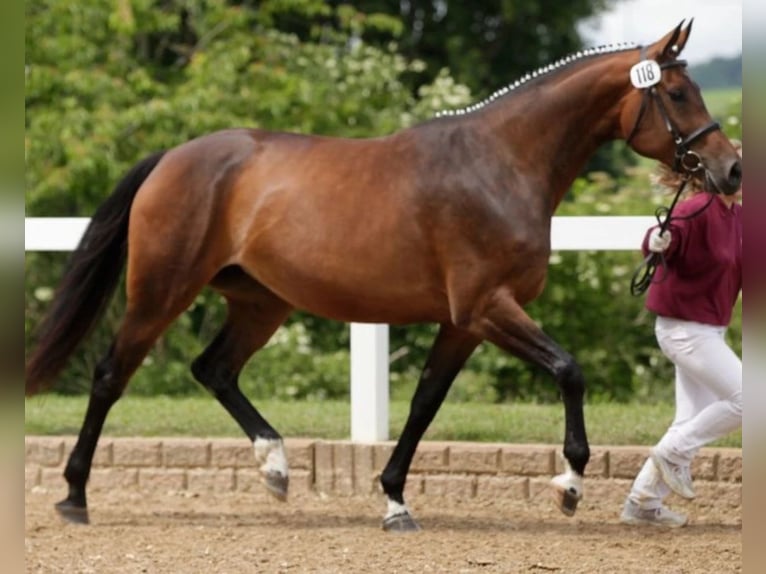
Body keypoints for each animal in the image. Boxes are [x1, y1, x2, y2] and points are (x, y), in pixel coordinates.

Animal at [26, 20, 741, 531]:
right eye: (678, 93)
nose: (730, 169)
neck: (500, 163)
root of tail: (174, 155)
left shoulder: (463, 322)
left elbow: (425, 403)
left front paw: (395, 501)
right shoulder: (488, 307)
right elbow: (569, 370)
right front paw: (568, 484)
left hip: (261, 303)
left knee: (215, 369)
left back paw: (276, 468)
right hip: (161, 292)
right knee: (111, 374)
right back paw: (75, 496)